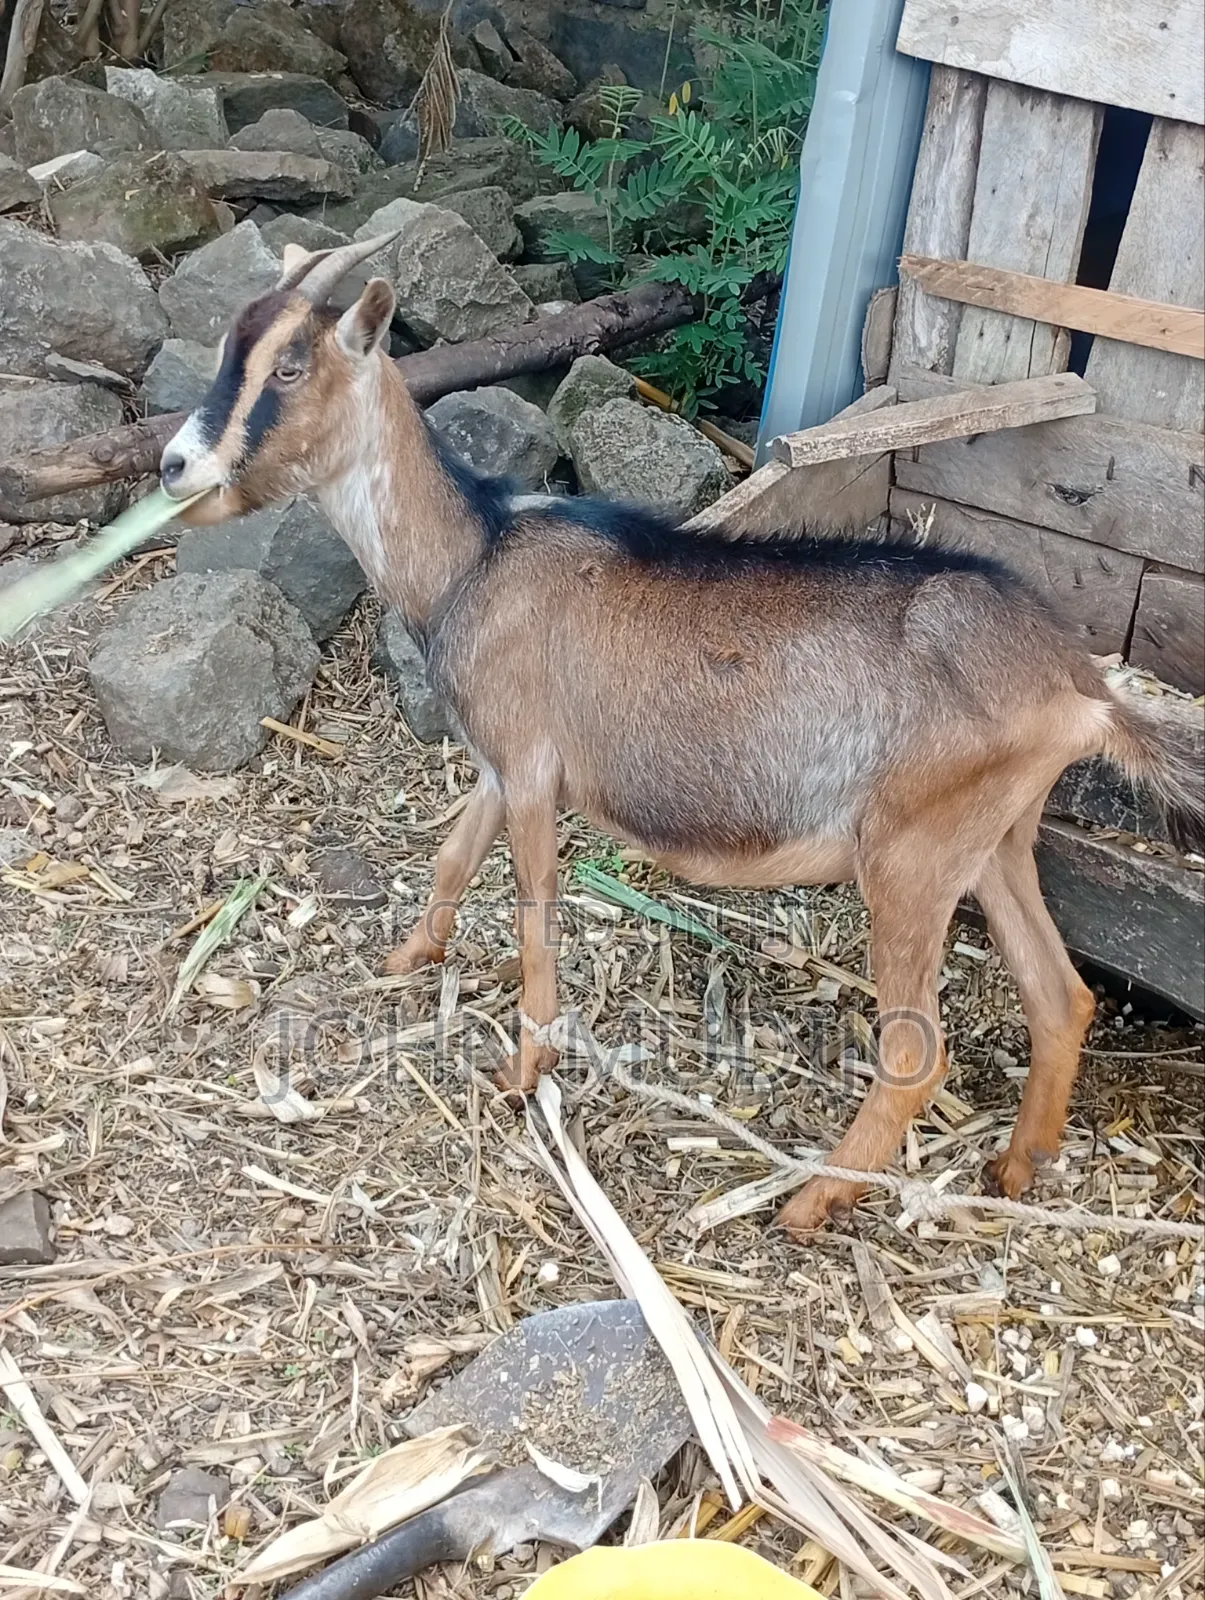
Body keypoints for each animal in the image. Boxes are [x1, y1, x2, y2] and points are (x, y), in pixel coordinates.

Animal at [159, 233, 1204, 1234]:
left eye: (290, 365)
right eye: (228, 350)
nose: (174, 466)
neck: (474, 559)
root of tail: (1081, 687)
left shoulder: (531, 770)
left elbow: (534, 915)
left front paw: (523, 1073)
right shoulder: (497, 763)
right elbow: (453, 856)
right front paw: (406, 961)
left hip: (909, 855)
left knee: (920, 1047)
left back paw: (811, 1203)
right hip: (994, 840)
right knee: (1059, 997)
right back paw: (1017, 1166)